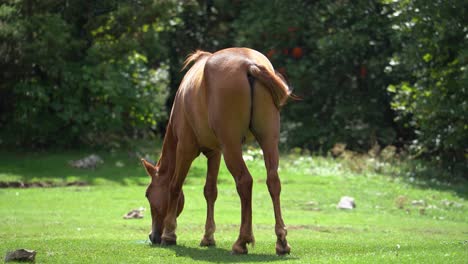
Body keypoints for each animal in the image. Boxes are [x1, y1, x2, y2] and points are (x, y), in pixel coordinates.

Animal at [141, 47, 290, 256]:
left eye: (148, 194)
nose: (152, 236)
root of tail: (250, 65)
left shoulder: (185, 149)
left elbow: (174, 186)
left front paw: (169, 234)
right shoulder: (215, 152)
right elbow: (210, 191)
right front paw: (208, 237)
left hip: (231, 146)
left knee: (245, 182)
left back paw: (241, 241)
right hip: (268, 141)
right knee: (273, 182)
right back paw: (281, 241)